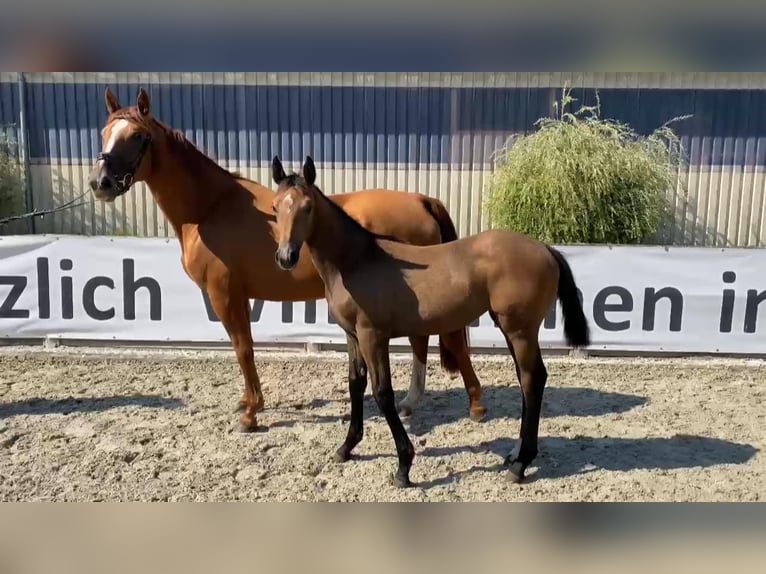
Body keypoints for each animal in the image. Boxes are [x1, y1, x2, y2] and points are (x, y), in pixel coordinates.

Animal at [88, 88, 486, 432]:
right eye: (105, 132)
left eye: (137, 136)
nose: (100, 182)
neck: (211, 207)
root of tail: (422, 199)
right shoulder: (236, 296)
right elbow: (244, 348)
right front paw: (249, 402)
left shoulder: (224, 294)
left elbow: (242, 348)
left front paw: (250, 414)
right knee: (423, 341)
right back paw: (412, 401)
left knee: (444, 338)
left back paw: (474, 405)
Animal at [272, 156, 592, 486]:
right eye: (275, 207)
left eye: (307, 207)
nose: (286, 257)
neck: (356, 261)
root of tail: (546, 249)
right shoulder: (353, 335)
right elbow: (355, 383)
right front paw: (347, 447)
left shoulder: (373, 335)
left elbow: (382, 392)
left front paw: (403, 466)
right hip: (511, 329)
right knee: (526, 380)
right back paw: (515, 455)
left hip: (520, 330)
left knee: (532, 379)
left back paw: (521, 464)